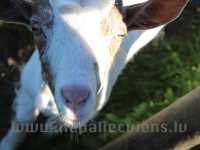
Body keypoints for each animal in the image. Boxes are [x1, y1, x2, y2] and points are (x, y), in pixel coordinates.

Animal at [0, 0, 189, 149]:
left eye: (121, 34)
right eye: (35, 27)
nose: (75, 98)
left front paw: (52, 127)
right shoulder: (27, 90)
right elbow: (22, 122)